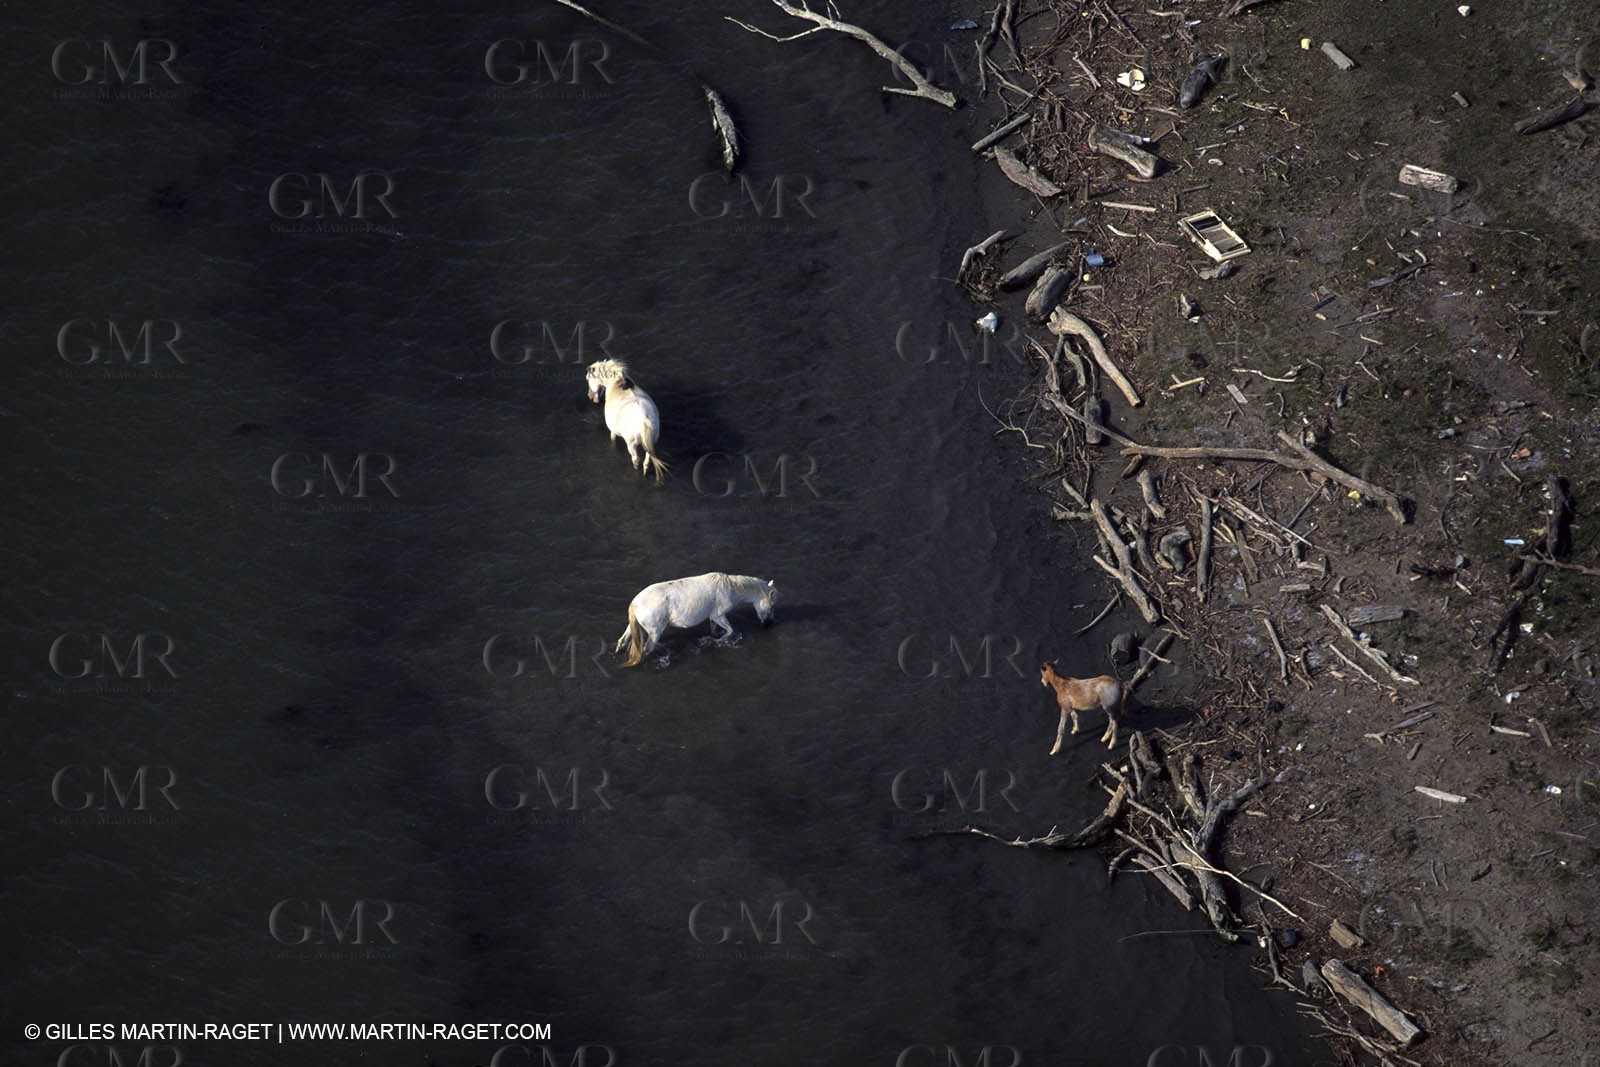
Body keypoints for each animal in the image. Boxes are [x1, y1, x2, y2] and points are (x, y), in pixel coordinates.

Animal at [616, 572, 778, 667]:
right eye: (771, 606)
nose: (769, 624)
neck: (731, 588)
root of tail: (635, 603)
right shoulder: (718, 615)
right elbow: (730, 631)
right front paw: (716, 642)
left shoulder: (714, 618)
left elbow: (715, 629)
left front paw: (713, 638)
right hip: (655, 632)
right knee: (646, 649)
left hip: (633, 627)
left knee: (622, 640)